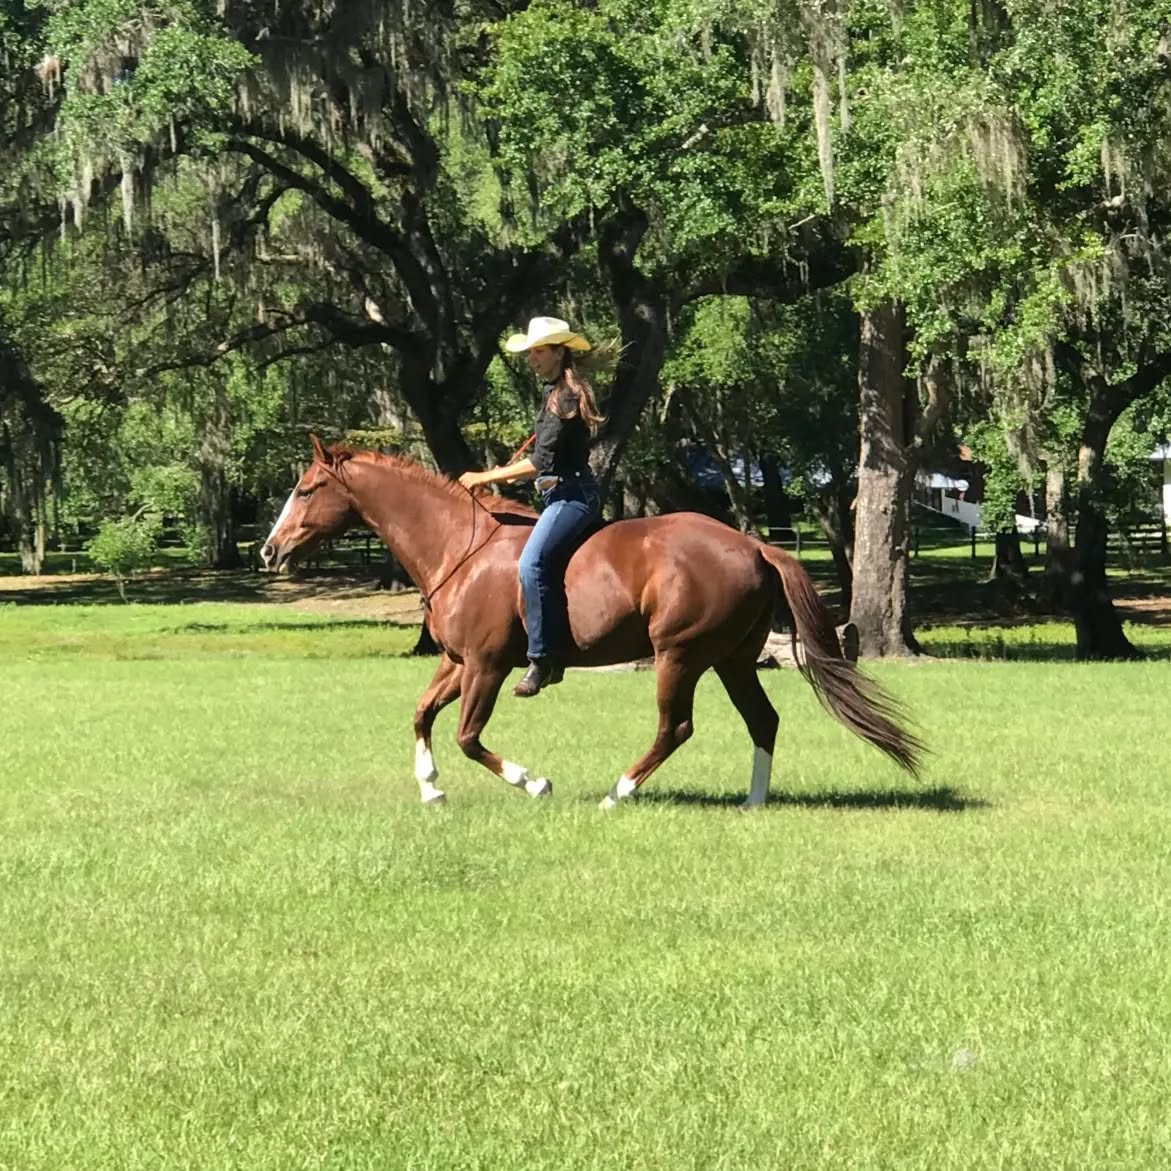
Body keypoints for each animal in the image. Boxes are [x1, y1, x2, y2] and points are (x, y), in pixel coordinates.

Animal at [261, 436, 923, 808]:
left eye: (306, 488)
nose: (269, 550)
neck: (460, 549)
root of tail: (754, 545)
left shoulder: (487, 666)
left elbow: (468, 736)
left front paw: (535, 783)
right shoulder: (456, 662)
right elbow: (422, 715)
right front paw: (431, 788)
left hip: (679, 657)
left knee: (675, 728)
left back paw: (618, 793)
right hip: (731, 659)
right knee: (763, 720)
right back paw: (753, 802)